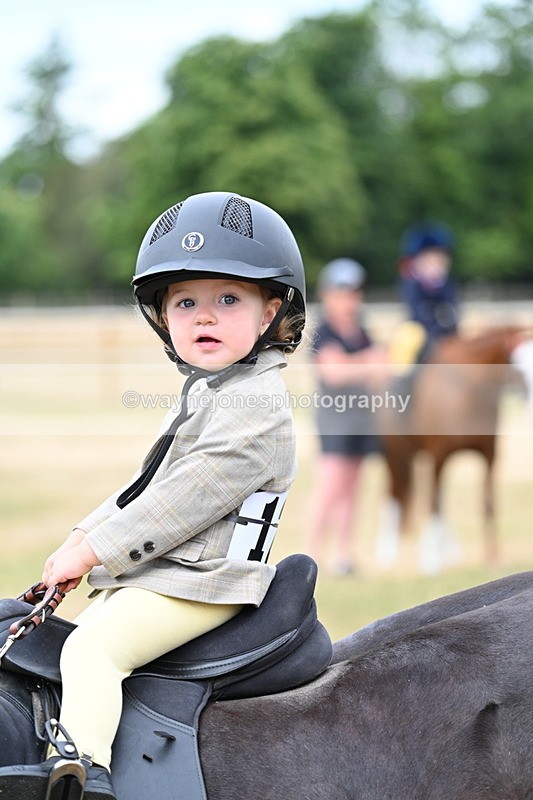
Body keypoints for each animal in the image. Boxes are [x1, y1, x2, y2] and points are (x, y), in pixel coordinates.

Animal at [376, 325, 533, 574]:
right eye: (519, 369)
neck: (468, 394)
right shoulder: (438, 456)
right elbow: (433, 502)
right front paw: (430, 560)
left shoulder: (489, 456)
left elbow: (488, 504)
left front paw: (493, 557)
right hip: (397, 455)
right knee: (394, 493)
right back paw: (388, 553)